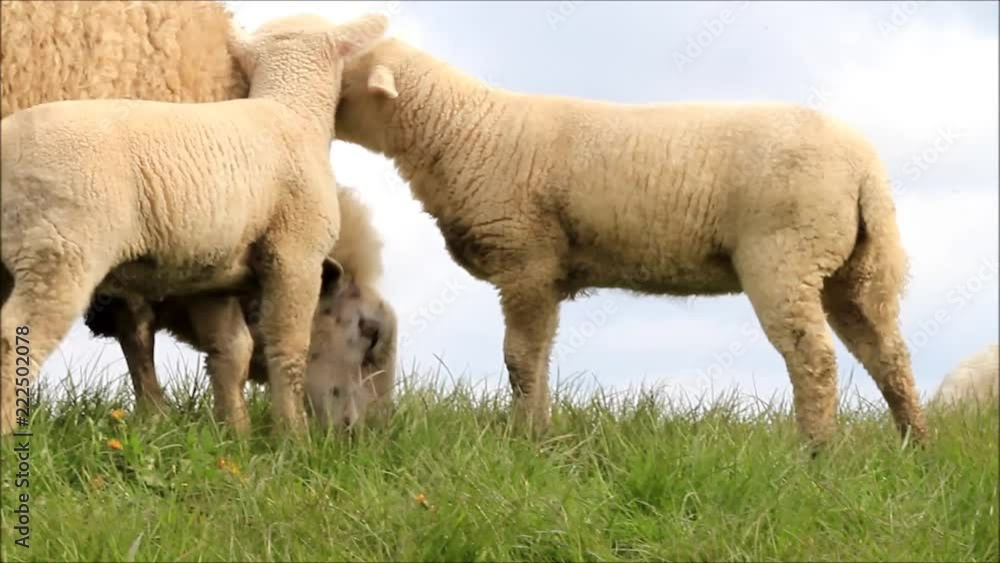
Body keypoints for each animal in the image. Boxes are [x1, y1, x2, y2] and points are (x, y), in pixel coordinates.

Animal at [0, 0, 398, 432]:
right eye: (370, 334)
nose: (372, 433)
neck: (288, 111)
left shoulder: (211, 269)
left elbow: (228, 350)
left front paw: (232, 434)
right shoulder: (295, 256)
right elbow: (287, 350)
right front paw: (292, 437)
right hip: (62, 252)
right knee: (15, 336)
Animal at [334, 37, 928, 448]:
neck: (460, 131)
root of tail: (865, 170)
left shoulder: (525, 259)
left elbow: (519, 358)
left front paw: (523, 436)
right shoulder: (546, 272)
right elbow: (540, 355)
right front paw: (541, 434)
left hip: (785, 254)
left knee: (815, 358)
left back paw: (816, 451)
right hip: (855, 268)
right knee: (887, 354)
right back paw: (914, 444)